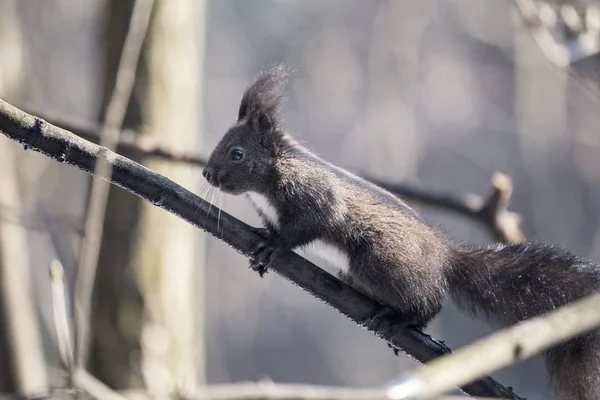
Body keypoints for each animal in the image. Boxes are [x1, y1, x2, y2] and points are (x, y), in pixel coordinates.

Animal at [204, 66, 600, 400]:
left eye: (236, 153)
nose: (208, 174)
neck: (274, 173)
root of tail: (444, 255)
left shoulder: (313, 197)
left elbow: (304, 227)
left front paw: (274, 246)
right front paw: (261, 246)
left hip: (379, 262)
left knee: (429, 301)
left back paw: (404, 319)